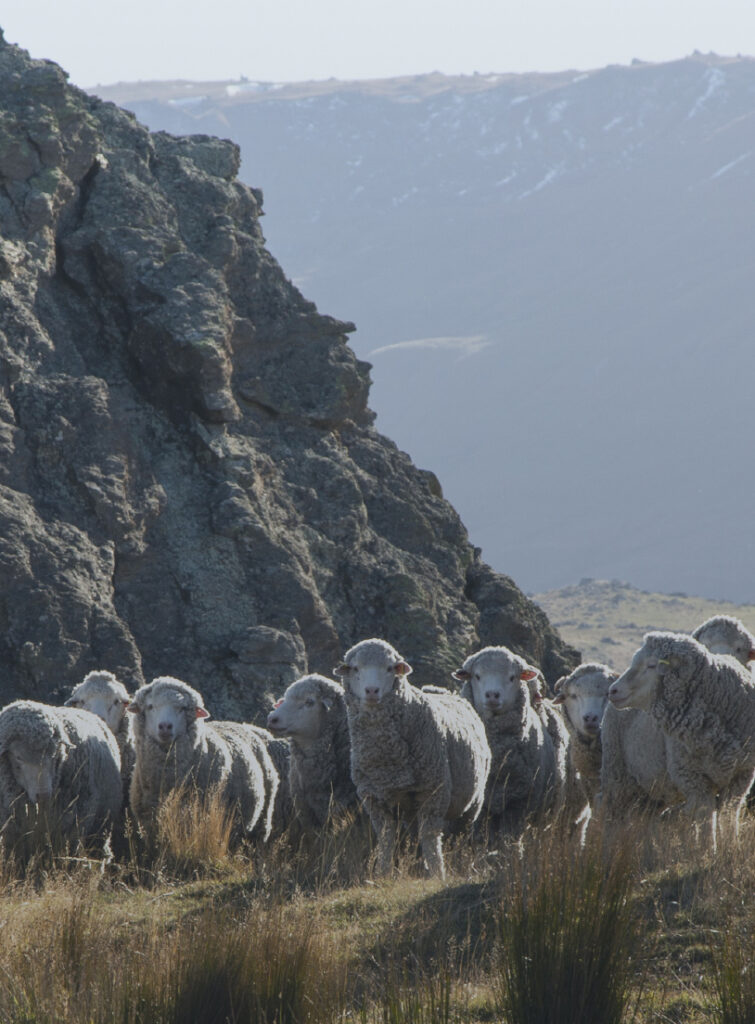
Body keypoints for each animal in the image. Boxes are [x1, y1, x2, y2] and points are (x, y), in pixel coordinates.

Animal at [0, 700, 122, 856]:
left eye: (53, 754)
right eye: (18, 757)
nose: (43, 795)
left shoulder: (74, 824)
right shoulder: (12, 830)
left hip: (102, 823)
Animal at [127, 676, 276, 842]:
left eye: (182, 708)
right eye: (150, 706)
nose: (165, 726)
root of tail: (240, 724)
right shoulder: (149, 825)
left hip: (261, 820)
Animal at [335, 638, 490, 879]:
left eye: (389, 668)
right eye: (355, 668)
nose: (372, 690)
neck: (387, 759)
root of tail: (445, 692)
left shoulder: (432, 792)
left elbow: (430, 837)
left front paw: (437, 873)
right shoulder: (375, 799)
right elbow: (386, 839)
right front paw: (383, 874)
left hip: (472, 802)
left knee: (460, 836)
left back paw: (461, 863)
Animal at [453, 645, 568, 835]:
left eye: (512, 677)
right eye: (477, 676)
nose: (492, 695)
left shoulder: (519, 804)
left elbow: (508, 839)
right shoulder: (483, 804)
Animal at [605, 631, 755, 844]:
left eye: (651, 665)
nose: (613, 690)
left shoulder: (741, 776)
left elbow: (728, 818)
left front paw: (730, 846)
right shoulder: (694, 781)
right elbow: (706, 825)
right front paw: (708, 851)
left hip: (653, 789)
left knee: (648, 821)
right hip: (616, 775)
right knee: (609, 820)